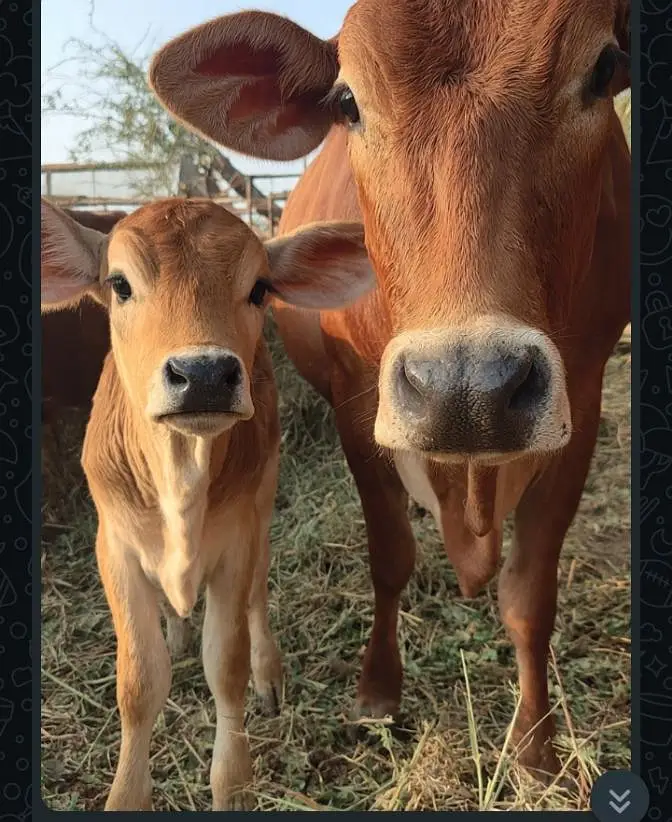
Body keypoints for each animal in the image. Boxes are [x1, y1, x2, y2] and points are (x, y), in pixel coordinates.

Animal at [39, 196, 375, 810]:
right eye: (119, 284)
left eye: (260, 287)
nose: (203, 375)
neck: (181, 479)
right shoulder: (114, 548)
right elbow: (139, 680)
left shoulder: (235, 544)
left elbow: (226, 664)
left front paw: (233, 782)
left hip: (264, 501)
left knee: (259, 594)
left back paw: (269, 673)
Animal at [148, 0, 631, 782]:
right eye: (348, 102)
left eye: (606, 68)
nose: (468, 388)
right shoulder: (358, 409)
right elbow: (391, 557)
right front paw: (377, 692)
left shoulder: (579, 410)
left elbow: (530, 594)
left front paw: (535, 746)